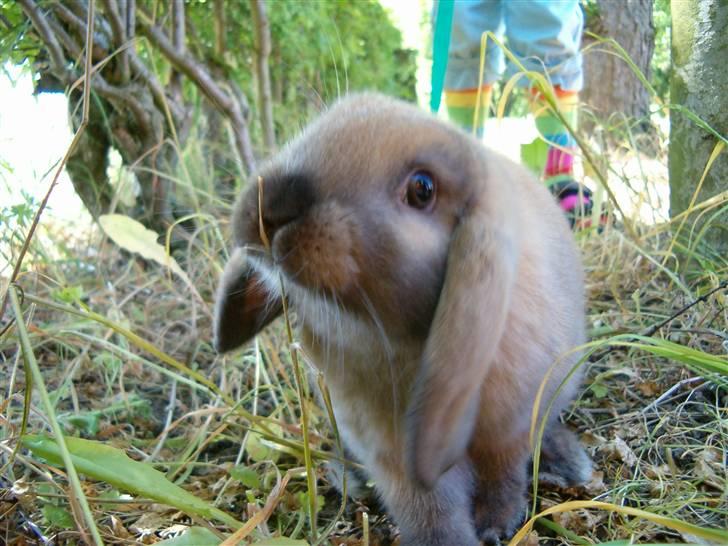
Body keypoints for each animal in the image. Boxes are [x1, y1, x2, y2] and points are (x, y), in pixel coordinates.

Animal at [212, 94, 592, 544]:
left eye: (422, 189)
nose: (271, 205)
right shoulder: (390, 451)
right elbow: (430, 509)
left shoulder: (509, 429)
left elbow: (503, 477)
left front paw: (495, 525)